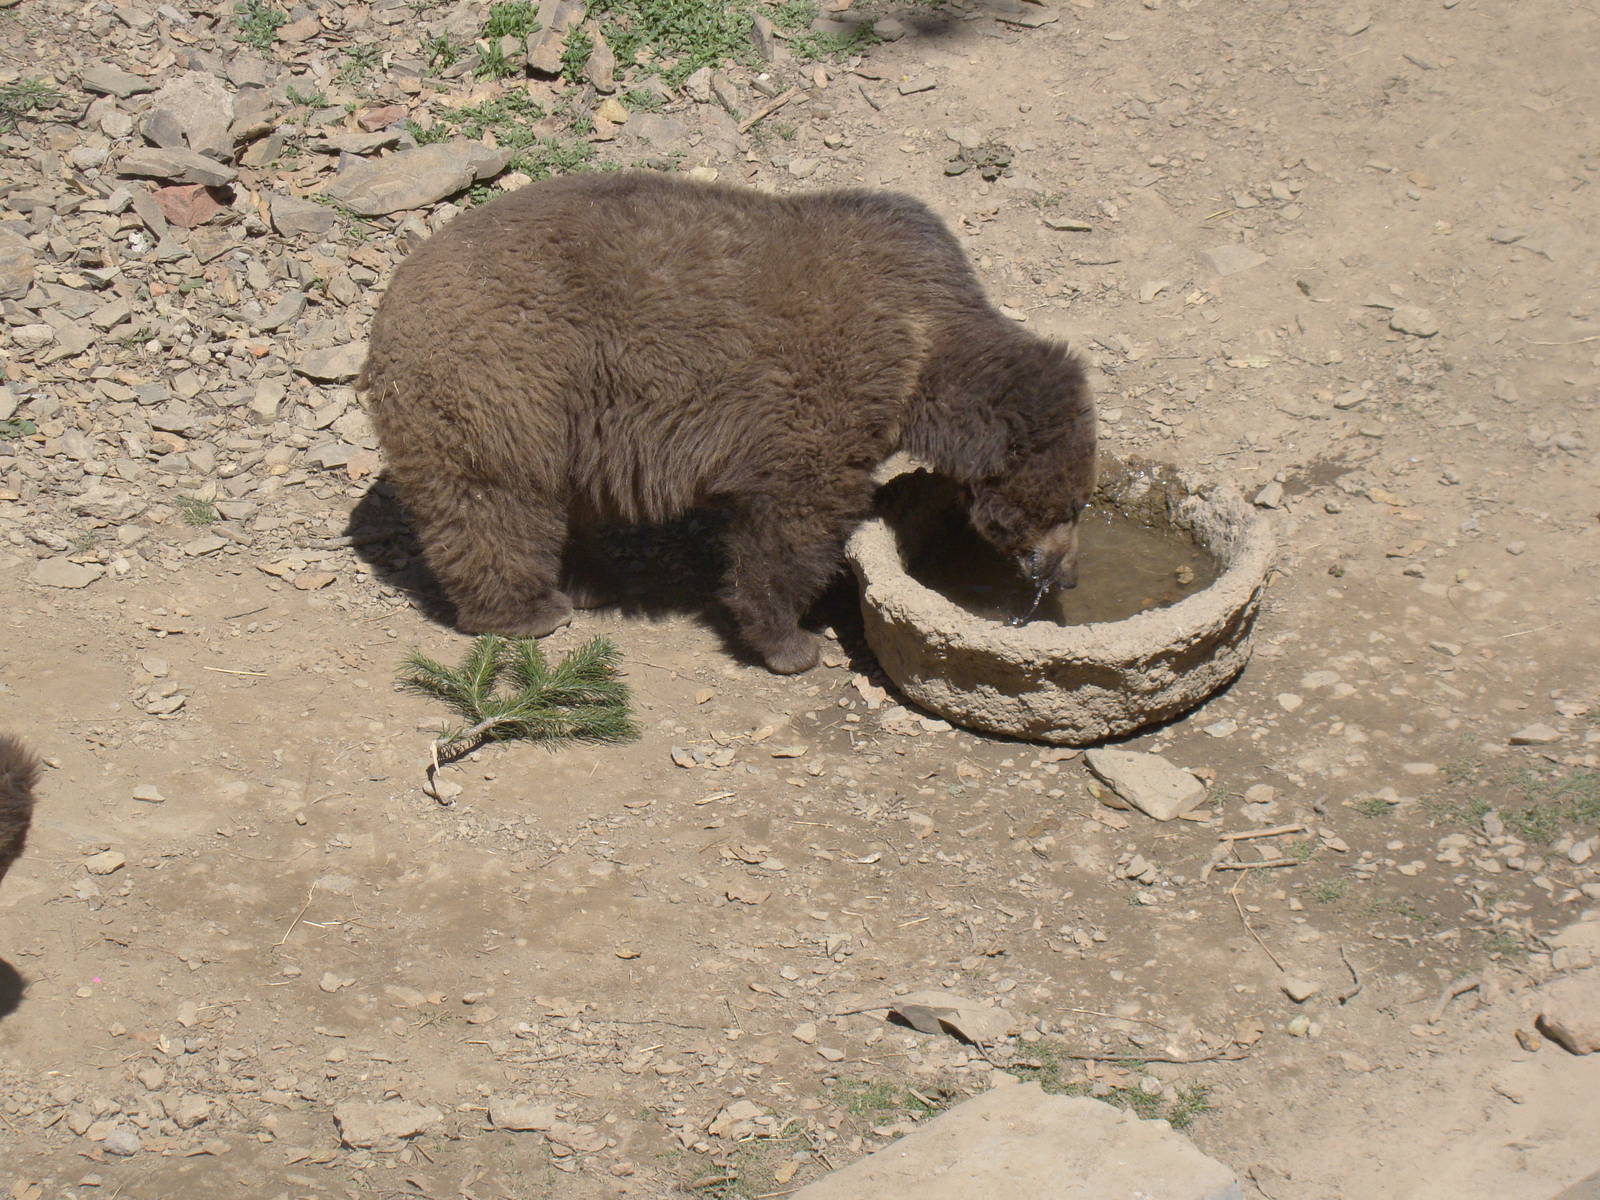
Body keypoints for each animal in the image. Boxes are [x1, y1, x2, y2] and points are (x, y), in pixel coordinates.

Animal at [359, 171, 1095, 674]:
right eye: (1076, 504)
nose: (1066, 575)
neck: (924, 354)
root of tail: (390, 302)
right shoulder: (824, 393)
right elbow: (792, 524)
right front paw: (792, 640)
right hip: (507, 381)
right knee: (494, 503)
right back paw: (527, 611)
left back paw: (590, 580)